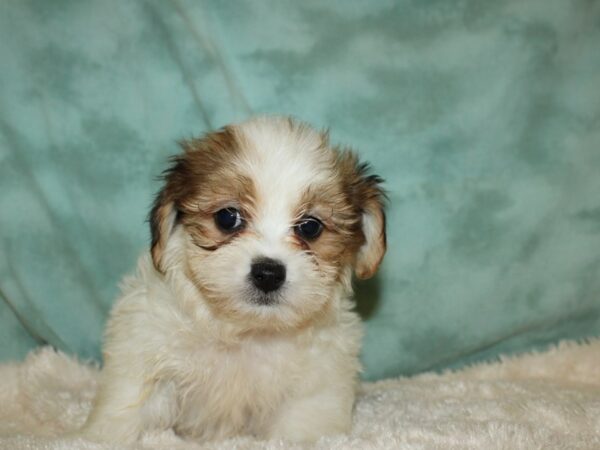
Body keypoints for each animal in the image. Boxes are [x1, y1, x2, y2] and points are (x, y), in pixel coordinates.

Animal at [81, 116, 384, 442]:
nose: (268, 274)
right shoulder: (146, 350)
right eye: (228, 217)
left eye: (310, 227)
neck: (247, 330)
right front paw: (100, 436)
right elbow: (127, 407)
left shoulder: (314, 389)